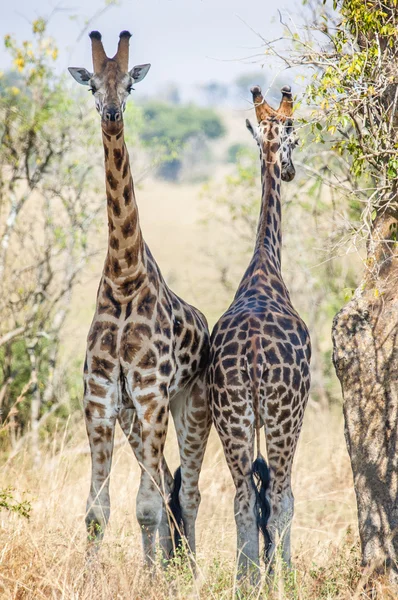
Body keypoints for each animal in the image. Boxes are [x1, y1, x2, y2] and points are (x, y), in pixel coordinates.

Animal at [68, 31, 211, 568]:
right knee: (167, 479)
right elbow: (97, 511)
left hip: (192, 407)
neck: (124, 279)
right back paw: (173, 562)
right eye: (93, 85)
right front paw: (90, 577)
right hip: (135, 419)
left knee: (186, 488)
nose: (111, 113)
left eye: (129, 83)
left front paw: (152, 577)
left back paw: (189, 570)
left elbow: (145, 507)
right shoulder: (101, 400)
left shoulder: (152, 396)